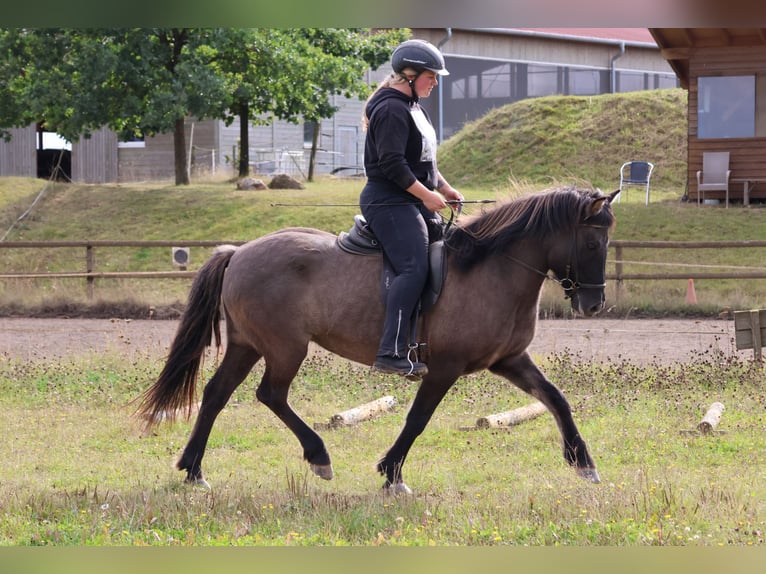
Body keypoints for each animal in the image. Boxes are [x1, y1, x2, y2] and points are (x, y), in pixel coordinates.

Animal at [135, 188, 620, 496]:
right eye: (592, 242)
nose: (594, 304)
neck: (491, 269)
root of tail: (239, 252)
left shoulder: (509, 359)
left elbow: (556, 399)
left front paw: (583, 464)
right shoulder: (444, 367)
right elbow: (418, 419)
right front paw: (392, 474)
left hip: (247, 345)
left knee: (217, 394)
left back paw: (194, 470)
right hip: (285, 347)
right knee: (270, 394)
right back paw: (318, 455)